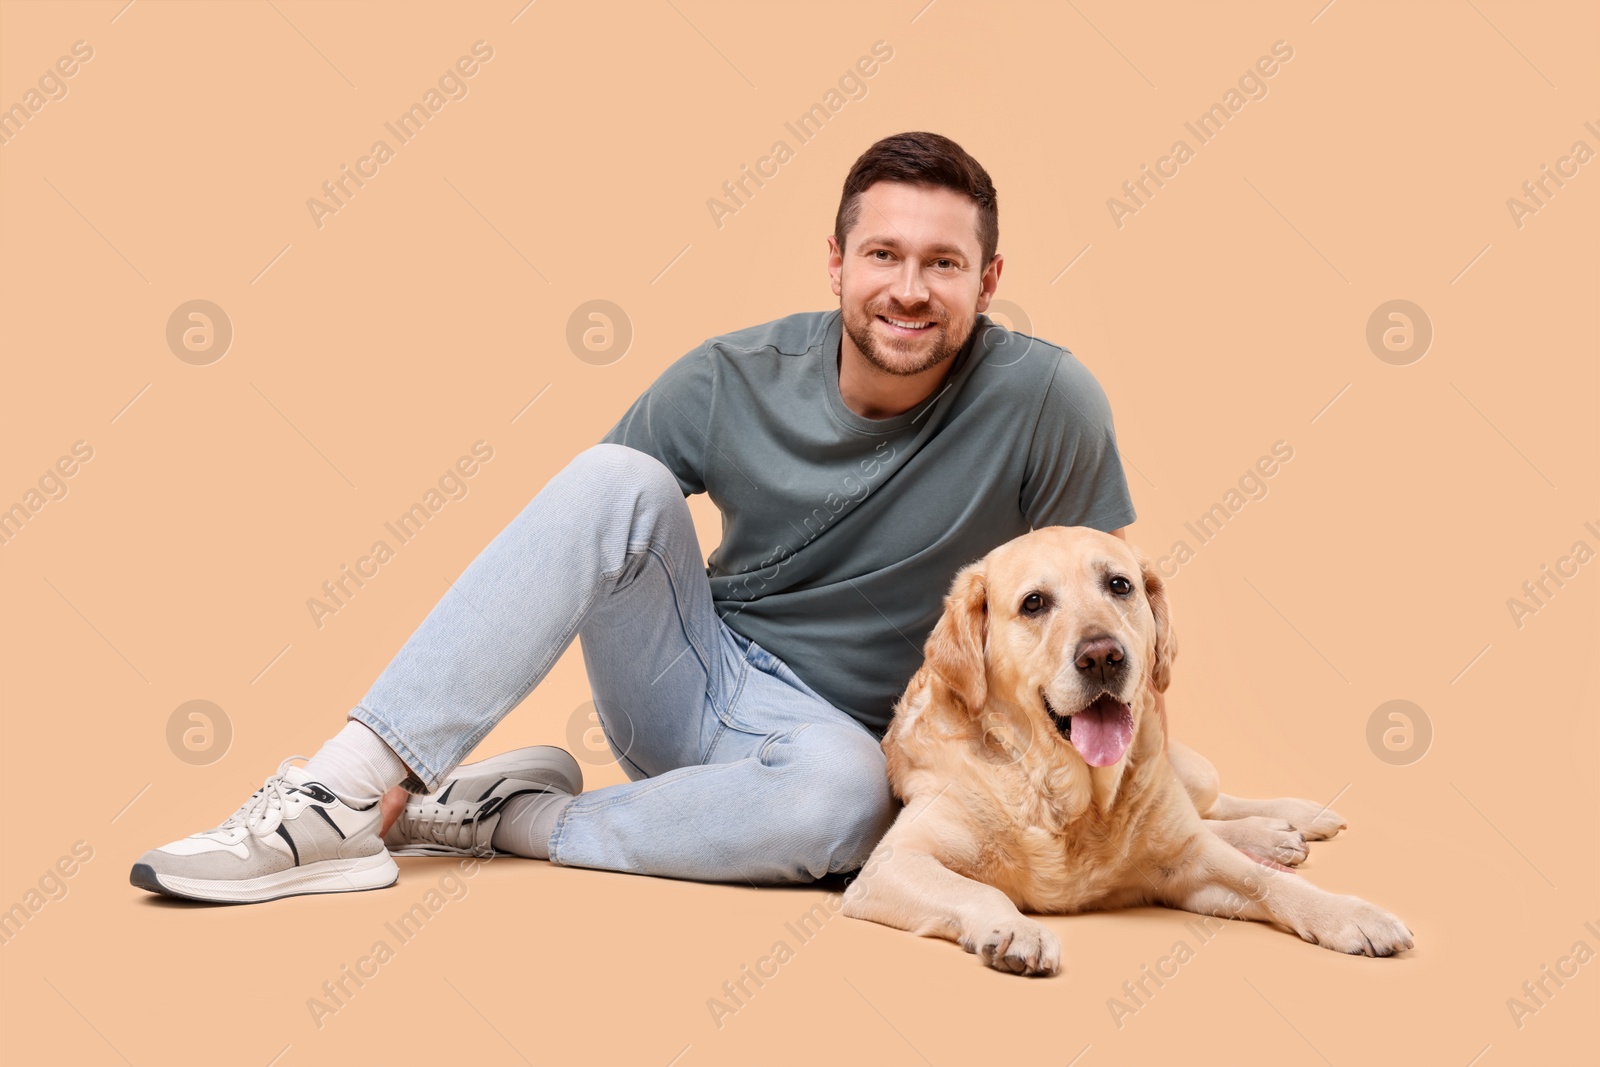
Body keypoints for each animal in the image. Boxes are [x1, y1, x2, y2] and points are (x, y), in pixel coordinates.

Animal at [838, 527, 1414, 979]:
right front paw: (1017, 930)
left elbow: (1264, 879)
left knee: (1209, 809)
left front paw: (1352, 914)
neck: (1069, 797)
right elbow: (983, 891)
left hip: (1191, 774)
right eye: (1033, 603)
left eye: (1120, 585)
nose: (1102, 655)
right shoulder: (890, 866)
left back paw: (1288, 823)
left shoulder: (1192, 865)